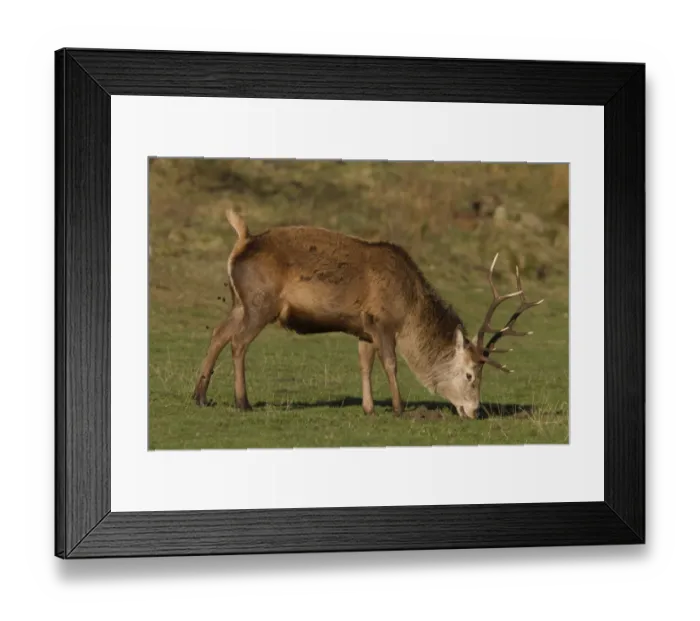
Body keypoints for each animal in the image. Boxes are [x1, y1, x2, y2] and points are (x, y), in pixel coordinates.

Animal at [192, 210, 544, 419]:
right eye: (470, 374)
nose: (474, 411)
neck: (409, 309)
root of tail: (242, 240)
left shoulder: (364, 328)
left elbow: (364, 364)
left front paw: (369, 407)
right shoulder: (383, 322)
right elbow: (390, 363)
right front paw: (399, 408)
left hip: (240, 302)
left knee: (218, 333)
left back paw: (200, 396)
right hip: (260, 303)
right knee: (238, 342)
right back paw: (242, 402)